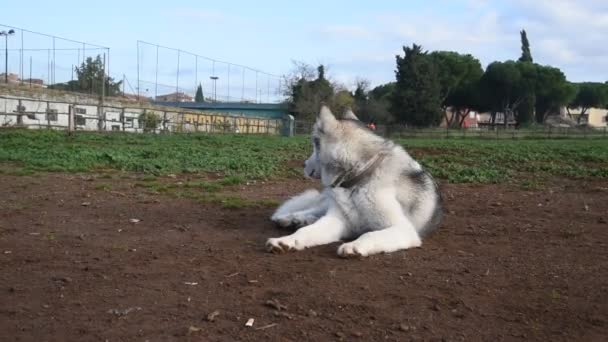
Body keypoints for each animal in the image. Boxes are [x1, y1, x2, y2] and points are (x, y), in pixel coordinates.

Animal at [266, 106, 442, 256]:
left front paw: (355, 245)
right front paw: (286, 241)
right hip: (326, 204)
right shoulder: (337, 221)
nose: (303, 164)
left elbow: (370, 234)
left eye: (315, 145)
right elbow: (306, 231)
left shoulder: (403, 229)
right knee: (315, 210)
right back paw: (291, 218)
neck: (357, 183)